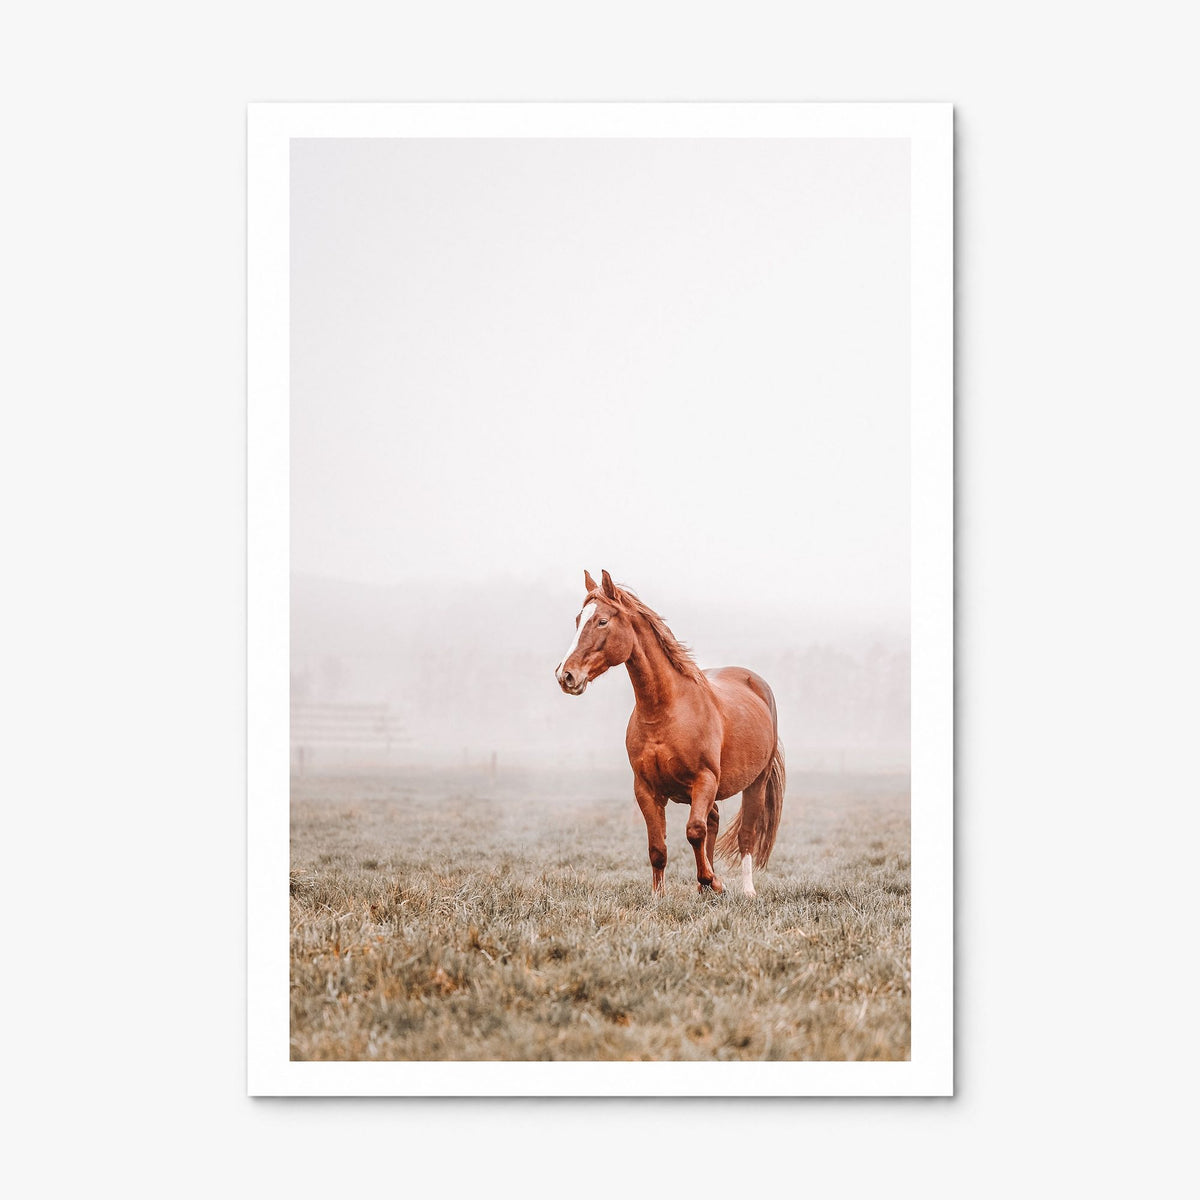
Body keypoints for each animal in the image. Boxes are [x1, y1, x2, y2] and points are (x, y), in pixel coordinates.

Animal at [554, 570, 785, 897]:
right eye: (578, 619)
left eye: (602, 621)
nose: (566, 675)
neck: (665, 712)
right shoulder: (646, 790)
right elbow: (658, 848)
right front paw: (659, 895)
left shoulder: (704, 779)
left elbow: (694, 830)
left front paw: (714, 881)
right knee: (713, 820)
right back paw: (704, 889)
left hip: (756, 782)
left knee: (745, 834)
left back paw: (746, 891)